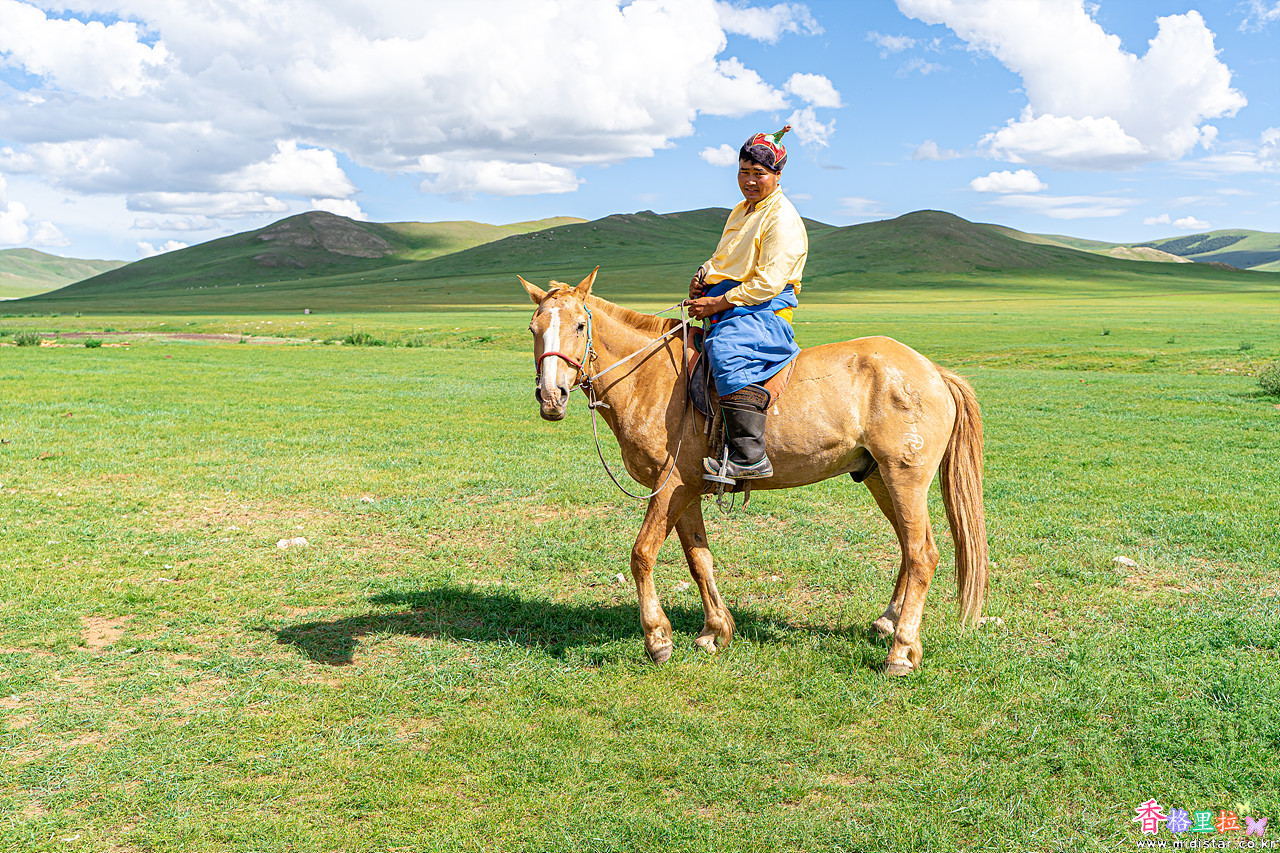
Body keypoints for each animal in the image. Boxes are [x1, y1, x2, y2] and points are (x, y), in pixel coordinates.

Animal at [520, 268, 989, 675]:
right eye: (533, 328)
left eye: (580, 325)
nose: (551, 396)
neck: (648, 379)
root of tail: (933, 371)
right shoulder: (686, 489)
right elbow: (699, 558)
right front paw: (715, 632)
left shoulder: (669, 485)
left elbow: (642, 555)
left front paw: (658, 639)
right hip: (879, 477)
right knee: (911, 549)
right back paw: (888, 622)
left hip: (905, 477)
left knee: (923, 554)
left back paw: (902, 652)